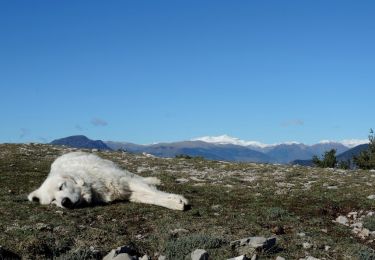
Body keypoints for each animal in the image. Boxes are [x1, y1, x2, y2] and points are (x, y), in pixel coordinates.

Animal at [27, 151, 189, 210]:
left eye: (61, 187)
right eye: (53, 201)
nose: (64, 202)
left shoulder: (124, 181)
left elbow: (154, 193)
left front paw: (177, 199)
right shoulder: (128, 193)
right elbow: (152, 198)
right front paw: (174, 203)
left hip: (119, 170)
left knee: (137, 176)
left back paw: (154, 180)